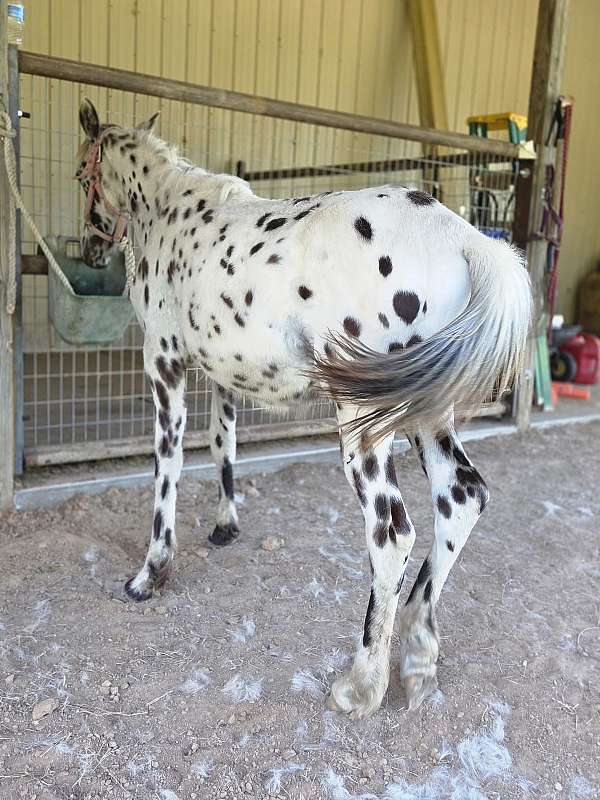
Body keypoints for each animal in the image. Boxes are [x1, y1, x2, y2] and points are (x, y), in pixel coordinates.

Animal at [75, 98, 531, 717]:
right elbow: (222, 445)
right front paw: (225, 527)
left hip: (365, 423)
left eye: (82, 175)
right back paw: (416, 656)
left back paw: (363, 684)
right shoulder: (222, 372)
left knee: (393, 532)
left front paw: (151, 574)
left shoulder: (164, 364)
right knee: (461, 498)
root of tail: (466, 241)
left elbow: (167, 466)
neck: (170, 211)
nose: (90, 249)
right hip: (426, 413)